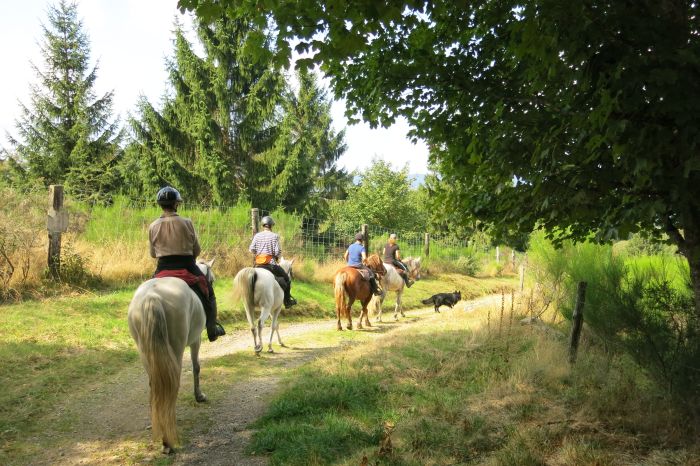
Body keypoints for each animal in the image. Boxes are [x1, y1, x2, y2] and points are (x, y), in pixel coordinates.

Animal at [126, 258, 213, 456]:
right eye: (211, 280)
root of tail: (152, 297)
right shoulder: (196, 340)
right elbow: (196, 367)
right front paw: (199, 396)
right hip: (176, 348)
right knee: (172, 384)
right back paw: (167, 440)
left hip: (145, 351)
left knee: (155, 384)